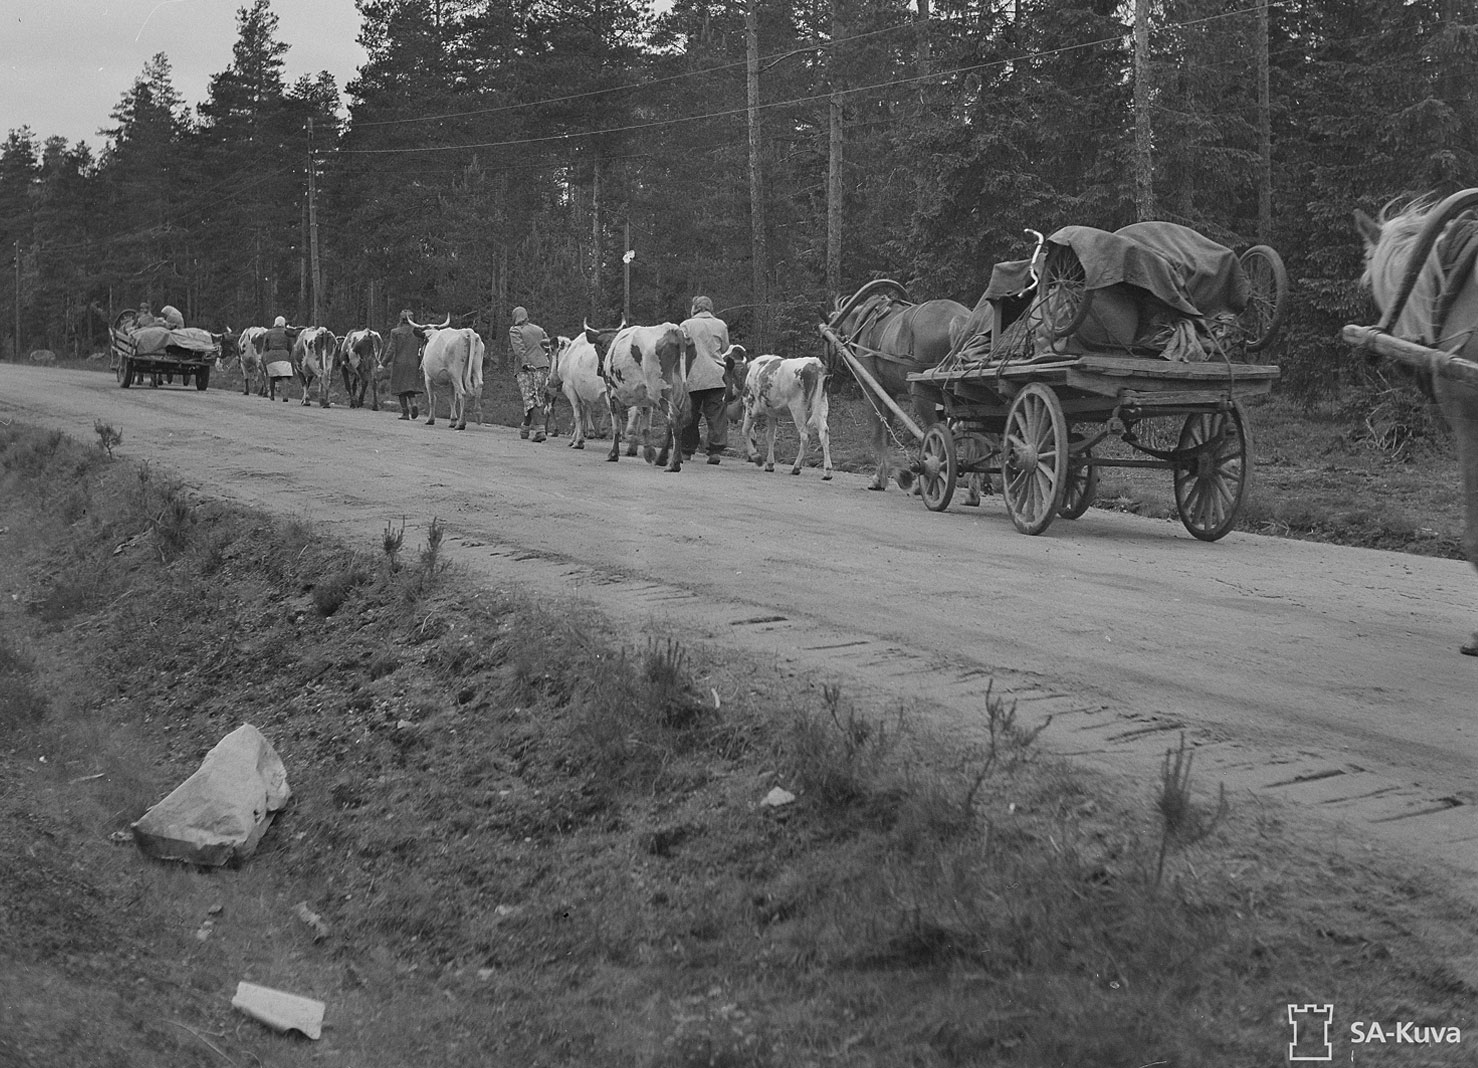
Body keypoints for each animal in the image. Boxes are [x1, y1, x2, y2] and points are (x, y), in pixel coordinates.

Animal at [824, 281, 970, 491]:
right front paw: (884, 476)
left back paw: (925, 477)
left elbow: (878, 433)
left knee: (933, 435)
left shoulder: (872, 387)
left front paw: (892, 477)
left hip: (921, 394)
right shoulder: (890, 391)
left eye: (827, 340)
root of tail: (960, 319)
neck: (863, 324)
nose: (829, 379)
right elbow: (887, 429)